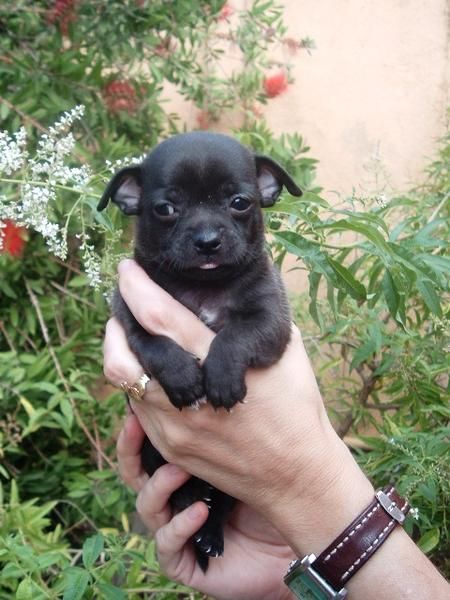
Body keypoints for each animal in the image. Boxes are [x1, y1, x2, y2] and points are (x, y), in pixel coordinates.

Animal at [99, 130, 302, 568]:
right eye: (165, 209)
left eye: (240, 202)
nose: (207, 241)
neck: (204, 286)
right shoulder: (129, 318)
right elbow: (155, 343)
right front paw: (183, 380)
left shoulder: (271, 321)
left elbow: (234, 336)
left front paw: (221, 380)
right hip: (155, 457)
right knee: (181, 494)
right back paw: (193, 500)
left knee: (222, 504)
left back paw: (209, 534)